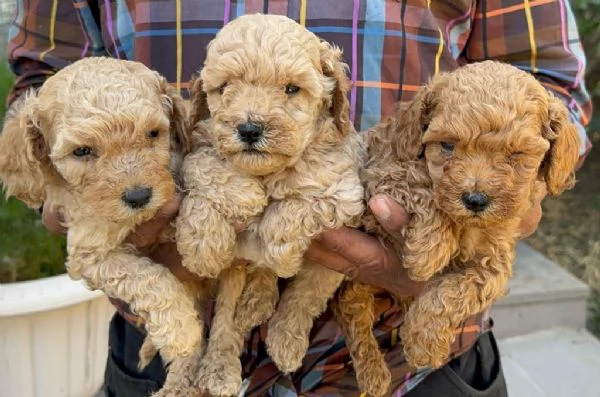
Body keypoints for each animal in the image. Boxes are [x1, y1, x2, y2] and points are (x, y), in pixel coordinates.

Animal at [0, 57, 204, 370]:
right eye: (82, 151)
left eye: (153, 133)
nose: (139, 197)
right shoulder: (89, 252)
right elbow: (147, 276)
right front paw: (181, 331)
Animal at [175, 13, 366, 394]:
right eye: (225, 87)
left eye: (292, 89)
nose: (249, 129)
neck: (266, 172)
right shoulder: (200, 150)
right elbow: (206, 170)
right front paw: (205, 245)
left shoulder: (344, 192)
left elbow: (296, 205)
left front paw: (279, 247)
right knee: (225, 318)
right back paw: (221, 365)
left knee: (304, 295)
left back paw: (283, 339)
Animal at [332, 59, 580, 396]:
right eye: (447, 145)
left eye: (516, 155)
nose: (475, 199)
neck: (467, 225)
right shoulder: (379, 173)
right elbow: (420, 185)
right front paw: (428, 252)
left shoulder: (493, 264)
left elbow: (453, 293)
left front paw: (425, 343)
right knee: (350, 308)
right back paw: (374, 373)